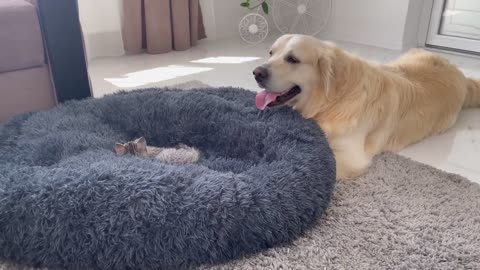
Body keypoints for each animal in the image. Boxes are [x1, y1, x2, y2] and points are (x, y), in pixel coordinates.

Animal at [253, 34, 478, 180]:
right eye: (271, 53)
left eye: (292, 59)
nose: (256, 72)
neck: (332, 100)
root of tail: (459, 73)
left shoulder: (350, 157)